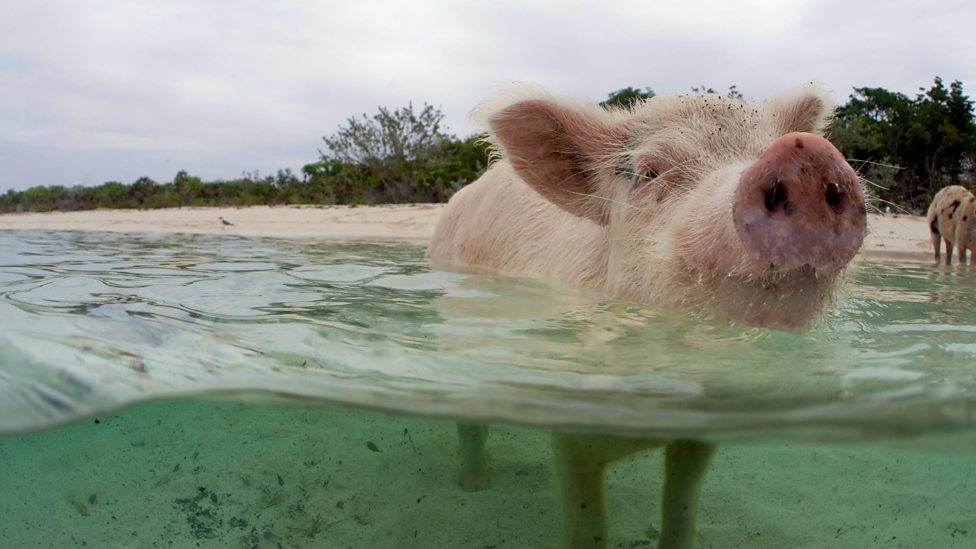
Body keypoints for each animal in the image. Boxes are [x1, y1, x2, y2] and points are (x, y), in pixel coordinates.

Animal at [427, 84, 867, 548]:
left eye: (764, 146)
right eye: (650, 172)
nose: (803, 151)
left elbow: (681, 502)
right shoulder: (571, 427)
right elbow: (587, 522)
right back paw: (475, 487)